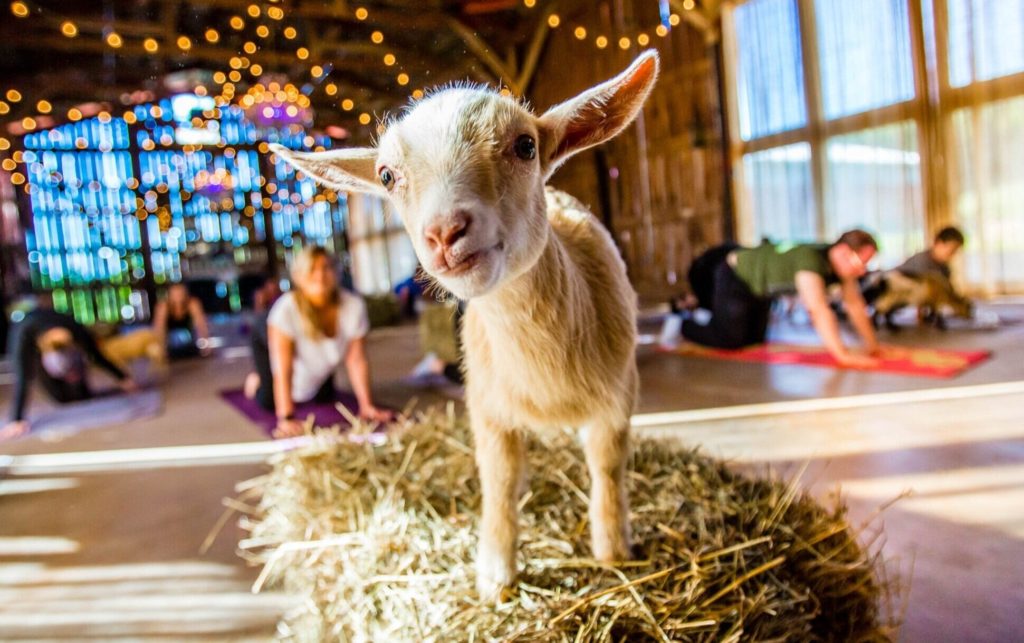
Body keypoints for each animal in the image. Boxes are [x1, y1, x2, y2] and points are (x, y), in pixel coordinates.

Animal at [268, 50, 659, 597]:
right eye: (386, 176)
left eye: (525, 146)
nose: (445, 232)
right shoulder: (487, 406)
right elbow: (499, 480)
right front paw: (496, 572)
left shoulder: (618, 399)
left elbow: (607, 468)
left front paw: (612, 550)